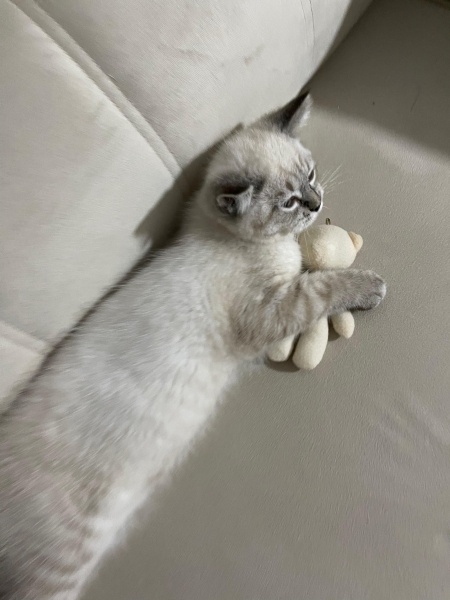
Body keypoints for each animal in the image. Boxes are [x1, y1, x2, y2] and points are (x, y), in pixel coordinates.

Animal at [0, 92, 386, 600]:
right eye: (288, 203)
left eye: (311, 175)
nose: (318, 202)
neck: (218, 232)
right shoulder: (268, 312)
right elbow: (321, 287)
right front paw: (369, 286)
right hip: (57, 567)